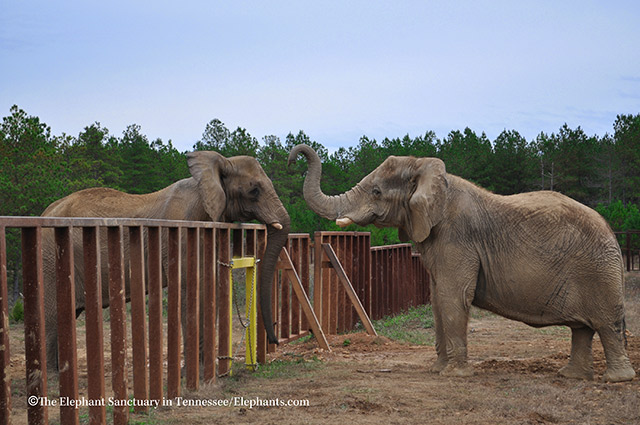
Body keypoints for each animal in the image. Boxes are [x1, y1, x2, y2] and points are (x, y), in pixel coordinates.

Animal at [41, 151, 286, 370]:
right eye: (254, 190)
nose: (274, 339)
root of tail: (45, 211)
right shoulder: (182, 234)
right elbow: (190, 288)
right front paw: (194, 371)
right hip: (50, 255)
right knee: (52, 317)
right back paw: (53, 374)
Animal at [288, 144, 636, 382]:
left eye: (376, 191)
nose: (293, 158)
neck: (428, 172)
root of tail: (611, 231)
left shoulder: (457, 237)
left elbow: (452, 297)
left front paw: (453, 375)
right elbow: (437, 299)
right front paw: (438, 369)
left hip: (598, 270)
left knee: (606, 324)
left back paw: (615, 380)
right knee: (582, 328)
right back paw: (570, 376)